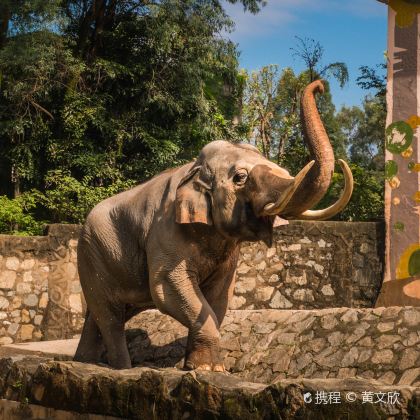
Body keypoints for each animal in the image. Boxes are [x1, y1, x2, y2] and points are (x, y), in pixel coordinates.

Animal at [74, 80, 352, 372]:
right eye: (240, 177)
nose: (320, 86)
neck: (193, 168)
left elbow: (219, 296)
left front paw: (202, 367)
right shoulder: (165, 231)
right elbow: (168, 287)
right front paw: (208, 369)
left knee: (102, 313)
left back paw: (86, 360)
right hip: (91, 254)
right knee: (110, 316)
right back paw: (121, 368)